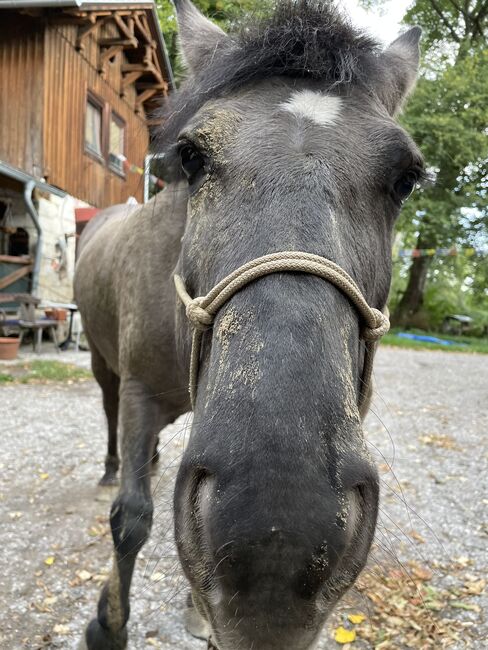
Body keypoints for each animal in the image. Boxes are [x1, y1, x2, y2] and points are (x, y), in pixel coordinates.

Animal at [74, 1, 426, 648]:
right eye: (191, 155)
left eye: (405, 178)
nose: (277, 535)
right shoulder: (138, 391)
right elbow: (132, 518)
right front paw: (107, 624)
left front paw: (196, 606)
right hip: (100, 361)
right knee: (111, 422)